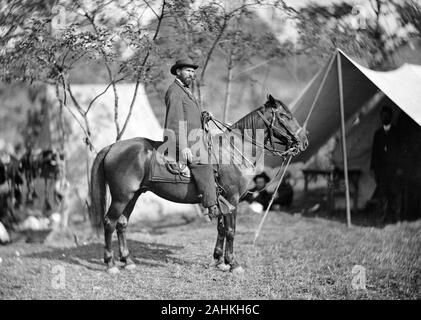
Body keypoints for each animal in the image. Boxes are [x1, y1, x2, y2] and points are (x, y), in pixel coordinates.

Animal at [89, 94, 306, 274]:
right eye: (285, 116)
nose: (304, 141)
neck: (233, 151)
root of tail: (113, 147)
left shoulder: (222, 201)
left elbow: (221, 228)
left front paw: (219, 260)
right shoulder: (232, 198)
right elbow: (231, 231)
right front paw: (233, 264)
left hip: (133, 196)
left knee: (122, 224)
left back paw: (127, 261)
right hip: (121, 196)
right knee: (109, 223)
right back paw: (110, 264)